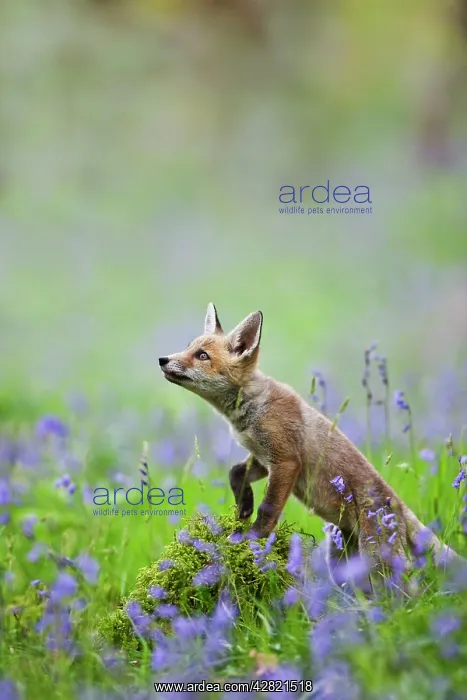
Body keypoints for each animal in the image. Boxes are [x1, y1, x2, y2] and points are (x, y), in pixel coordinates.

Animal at [159, 303, 461, 584]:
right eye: (188, 348)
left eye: (202, 356)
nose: (163, 359)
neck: (251, 407)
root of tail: (396, 501)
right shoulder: (263, 458)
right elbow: (236, 472)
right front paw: (243, 506)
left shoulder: (286, 461)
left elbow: (268, 508)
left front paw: (253, 537)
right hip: (341, 561)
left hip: (377, 559)